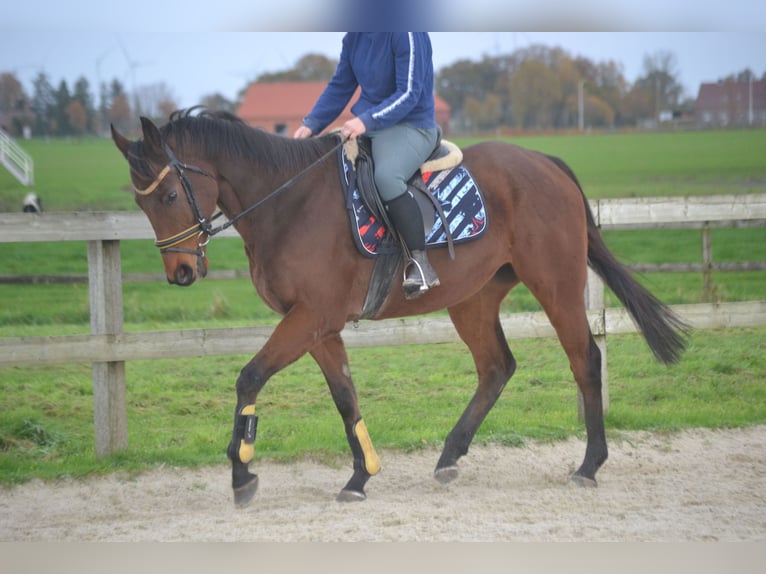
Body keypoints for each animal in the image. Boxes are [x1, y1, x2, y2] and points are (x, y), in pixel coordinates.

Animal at [109, 109, 688, 508]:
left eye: (167, 198)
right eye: (139, 202)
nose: (180, 273)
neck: (287, 203)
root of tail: (546, 162)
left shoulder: (310, 318)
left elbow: (249, 378)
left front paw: (242, 471)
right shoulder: (318, 327)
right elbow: (345, 396)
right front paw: (361, 474)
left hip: (557, 284)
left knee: (584, 359)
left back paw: (589, 465)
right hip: (473, 299)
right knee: (496, 367)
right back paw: (450, 456)